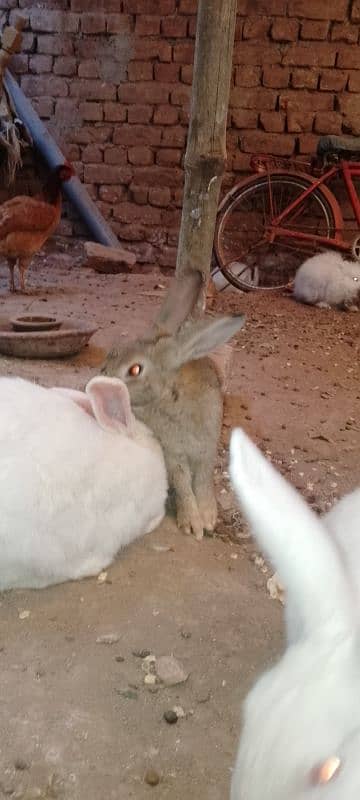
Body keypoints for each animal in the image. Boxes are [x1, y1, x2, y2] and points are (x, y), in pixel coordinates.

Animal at [102, 272, 246, 540]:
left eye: (134, 370)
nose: (101, 378)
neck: (169, 396)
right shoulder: (173, 454)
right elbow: (183, 485)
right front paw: (193, 523)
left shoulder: (205, 450)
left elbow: (202, 482)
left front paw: (208, 517)